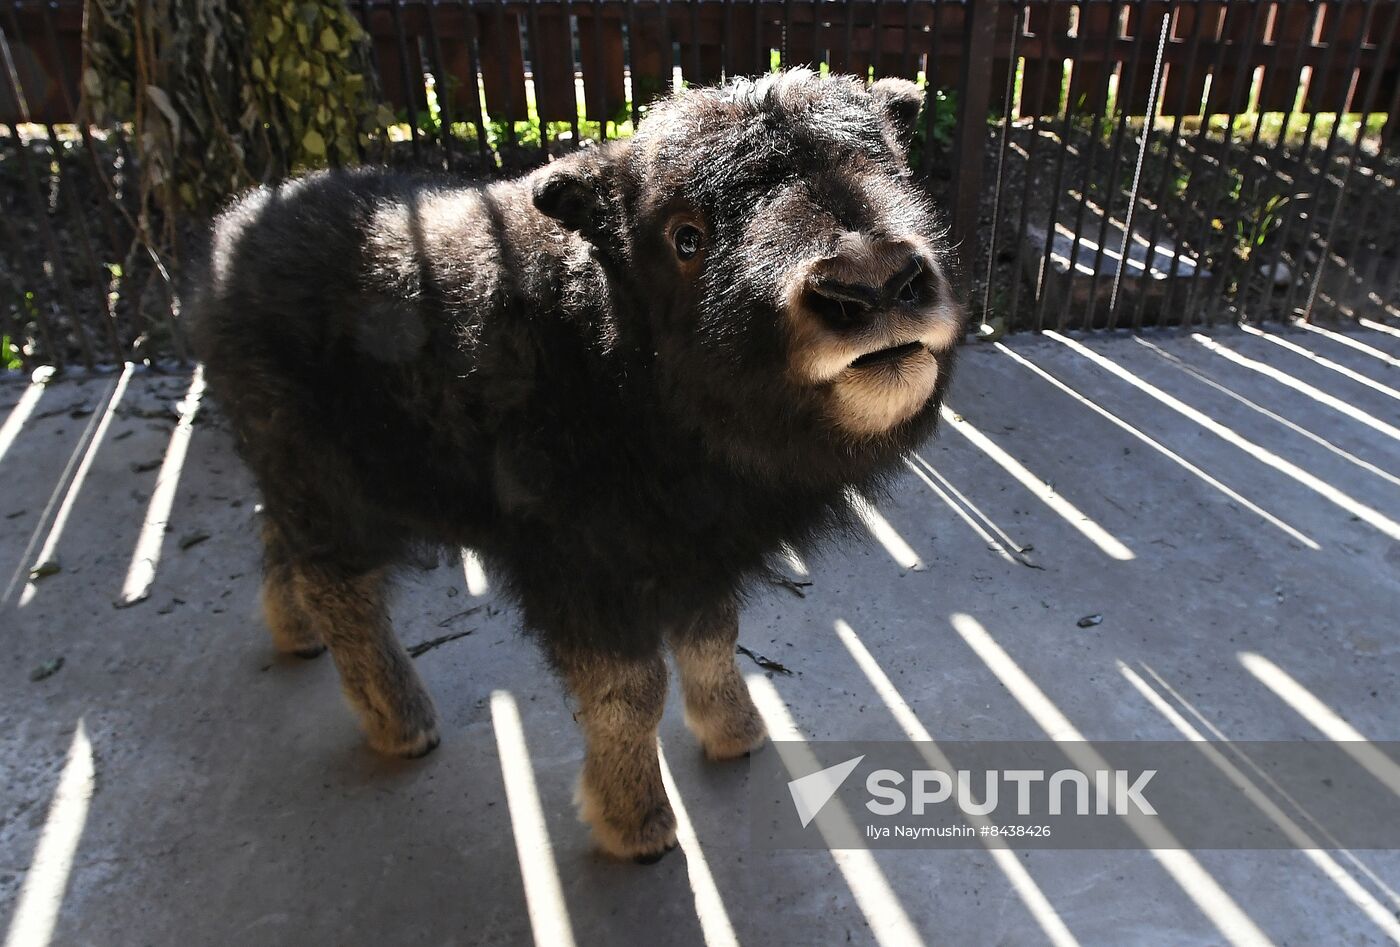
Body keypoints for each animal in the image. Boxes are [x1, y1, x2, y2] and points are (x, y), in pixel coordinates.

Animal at [197, 70, 963, 862]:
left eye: (896, 173)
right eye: (686, 236)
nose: (872, 282)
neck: (607, 347)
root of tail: (232, 235)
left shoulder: (690, 550)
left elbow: (712, 636)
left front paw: (736, 732)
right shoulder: (586, 570)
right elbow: (630, 691)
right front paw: (637, 825)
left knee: (281, 542)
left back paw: (296, 635)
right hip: (330, 487)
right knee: (341, 588)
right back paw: (402, 723)